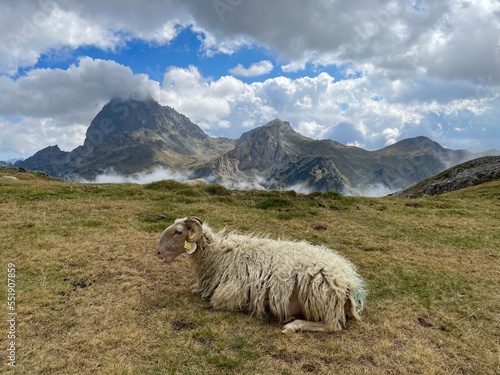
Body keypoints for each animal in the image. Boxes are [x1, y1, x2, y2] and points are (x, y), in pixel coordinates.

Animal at [156, 217, 368, 334]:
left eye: (178, 232)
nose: (157, 252)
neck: (219, 255)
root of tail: (350, 280)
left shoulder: (231, 292)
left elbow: (217, 302)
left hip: (320, 298)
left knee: (333, 326)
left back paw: (293, 325)